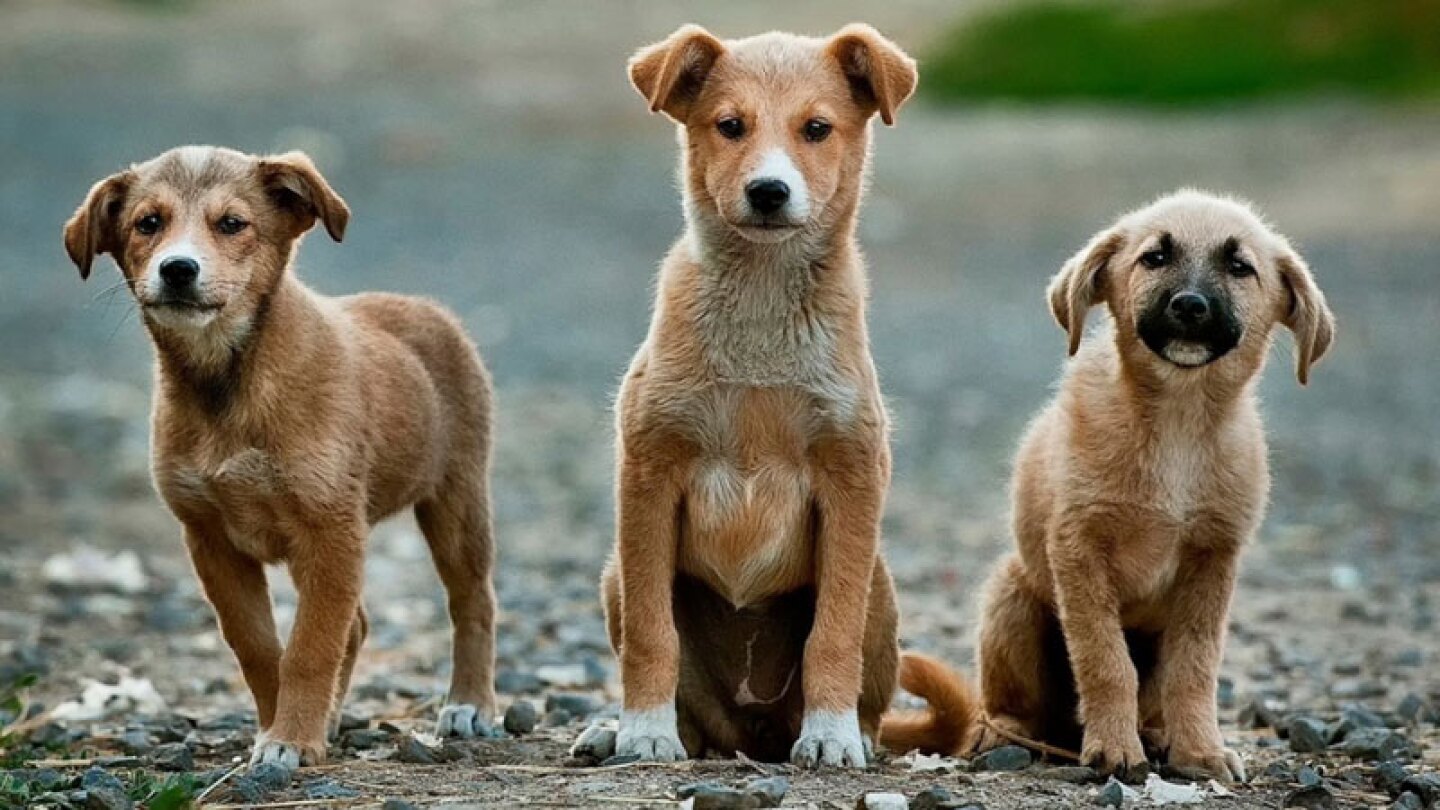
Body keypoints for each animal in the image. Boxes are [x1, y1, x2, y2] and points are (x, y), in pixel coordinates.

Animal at [599, 20, 915, 760]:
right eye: (730, 125)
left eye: (817, 128)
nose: (769, 191)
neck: (762, 312)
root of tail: (751, 730)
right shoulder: (648, 472)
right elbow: (652, 635)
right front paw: (644, 731)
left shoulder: (852, 476)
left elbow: (833, 634)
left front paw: (831, 736)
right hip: (614, 575)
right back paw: (613, 731)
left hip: (881, 584)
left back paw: (849, 734)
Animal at [887, 190, 1336, 784]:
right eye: (1154, 258)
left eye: (1240, 267)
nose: (1190, 305)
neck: (1177, 422)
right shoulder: (1079, 550)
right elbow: (1105, 661)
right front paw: (1115, 749)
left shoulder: (1213, 561)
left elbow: (1194, 668)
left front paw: (1200, 751)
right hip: (1012, 596)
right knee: (1011, 704)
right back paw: (1005, 732)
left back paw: (1157, 734)